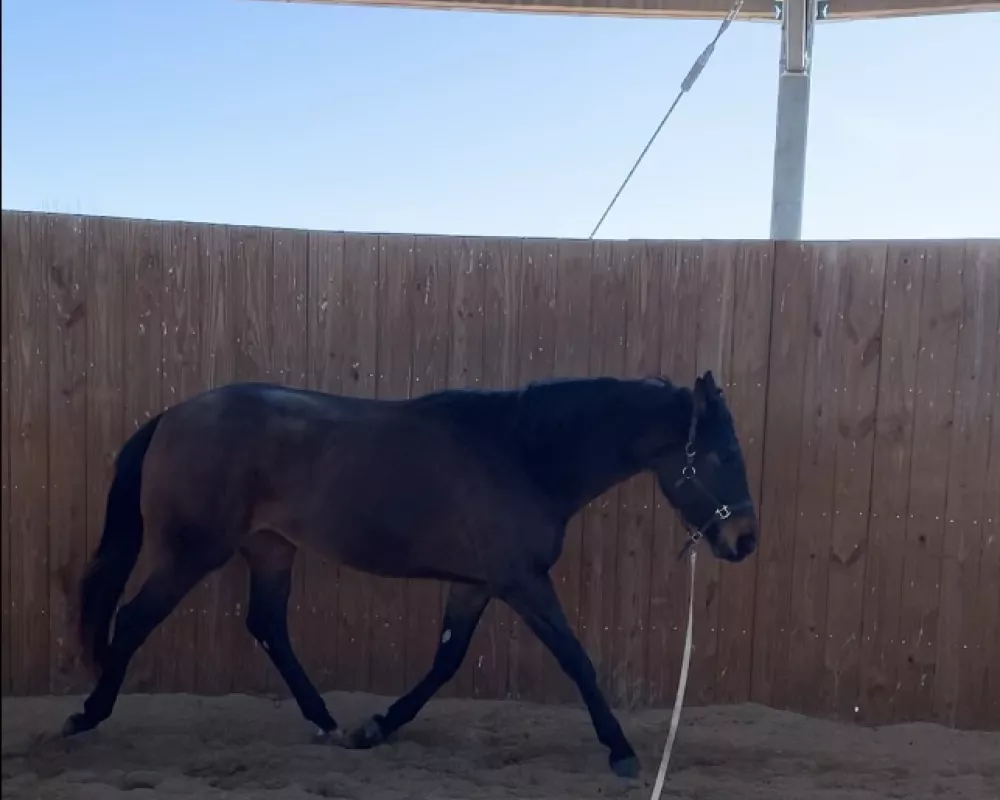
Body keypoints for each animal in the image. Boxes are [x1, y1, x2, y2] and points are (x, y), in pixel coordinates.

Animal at [62, 372, 756, 780]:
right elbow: (575, 658)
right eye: (722, 454)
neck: (523, 454)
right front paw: (621, 751)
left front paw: (378, 727)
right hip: (192, 551)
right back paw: (85, 717)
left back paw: (328, 723)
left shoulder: (477, 584)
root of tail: (171, 417)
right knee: (134, 618)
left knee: (266, 626)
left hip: (270, 549)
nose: (744, 539)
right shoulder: (520, 581)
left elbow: (445, 661)